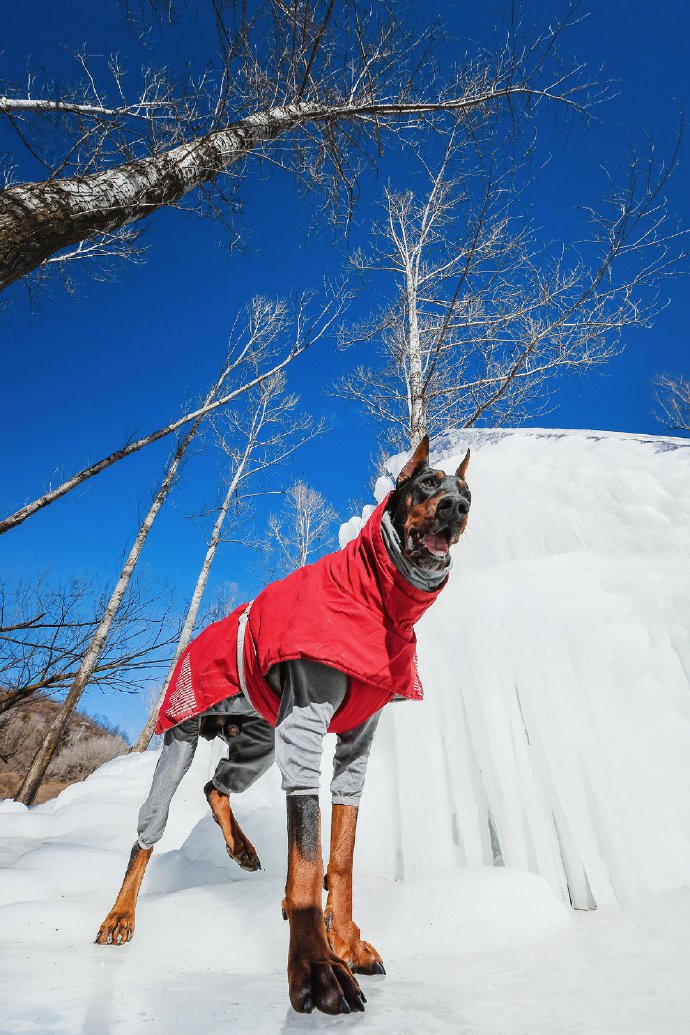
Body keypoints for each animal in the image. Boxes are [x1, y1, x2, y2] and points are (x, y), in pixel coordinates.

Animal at [95, 434, 469, 1018]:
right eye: (428, 483)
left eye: (467, 494)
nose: (456, 509)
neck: (376, 602)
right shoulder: (305, 728)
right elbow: (308, 861)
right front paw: (316, 967)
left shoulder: (356, 744)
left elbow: (340, 857)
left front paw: (347, 942)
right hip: (181, 736)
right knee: (147, 834)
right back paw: (120, 915)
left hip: (259, 744)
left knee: (216, 784)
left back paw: (243, 849)